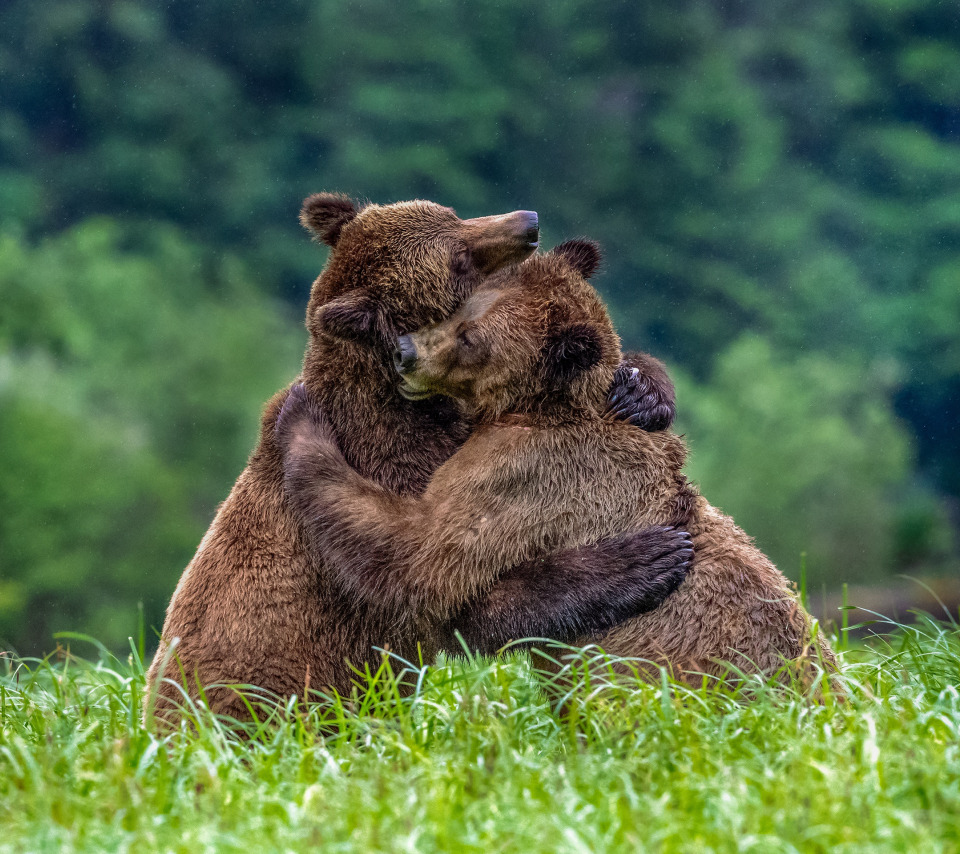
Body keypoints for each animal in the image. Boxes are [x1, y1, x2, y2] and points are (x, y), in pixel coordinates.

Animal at [278, 237, 840, 692]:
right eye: (457, 309)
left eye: (471, 338)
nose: (404, 352)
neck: (535, 405)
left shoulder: (525, 472)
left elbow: (422, 555)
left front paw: (301, 419)